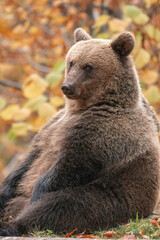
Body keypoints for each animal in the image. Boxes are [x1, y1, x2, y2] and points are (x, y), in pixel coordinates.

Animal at [0, 28, 160, 236]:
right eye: (71, 62)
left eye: (88, 66)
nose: (67, 86)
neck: (83, 107)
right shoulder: (52, 127)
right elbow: (30, 159)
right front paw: (5, 188)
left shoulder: (103, 133)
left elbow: (70, 164)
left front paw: (37, 192)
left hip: (112, 197)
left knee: (62, 206)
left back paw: (11, 225)